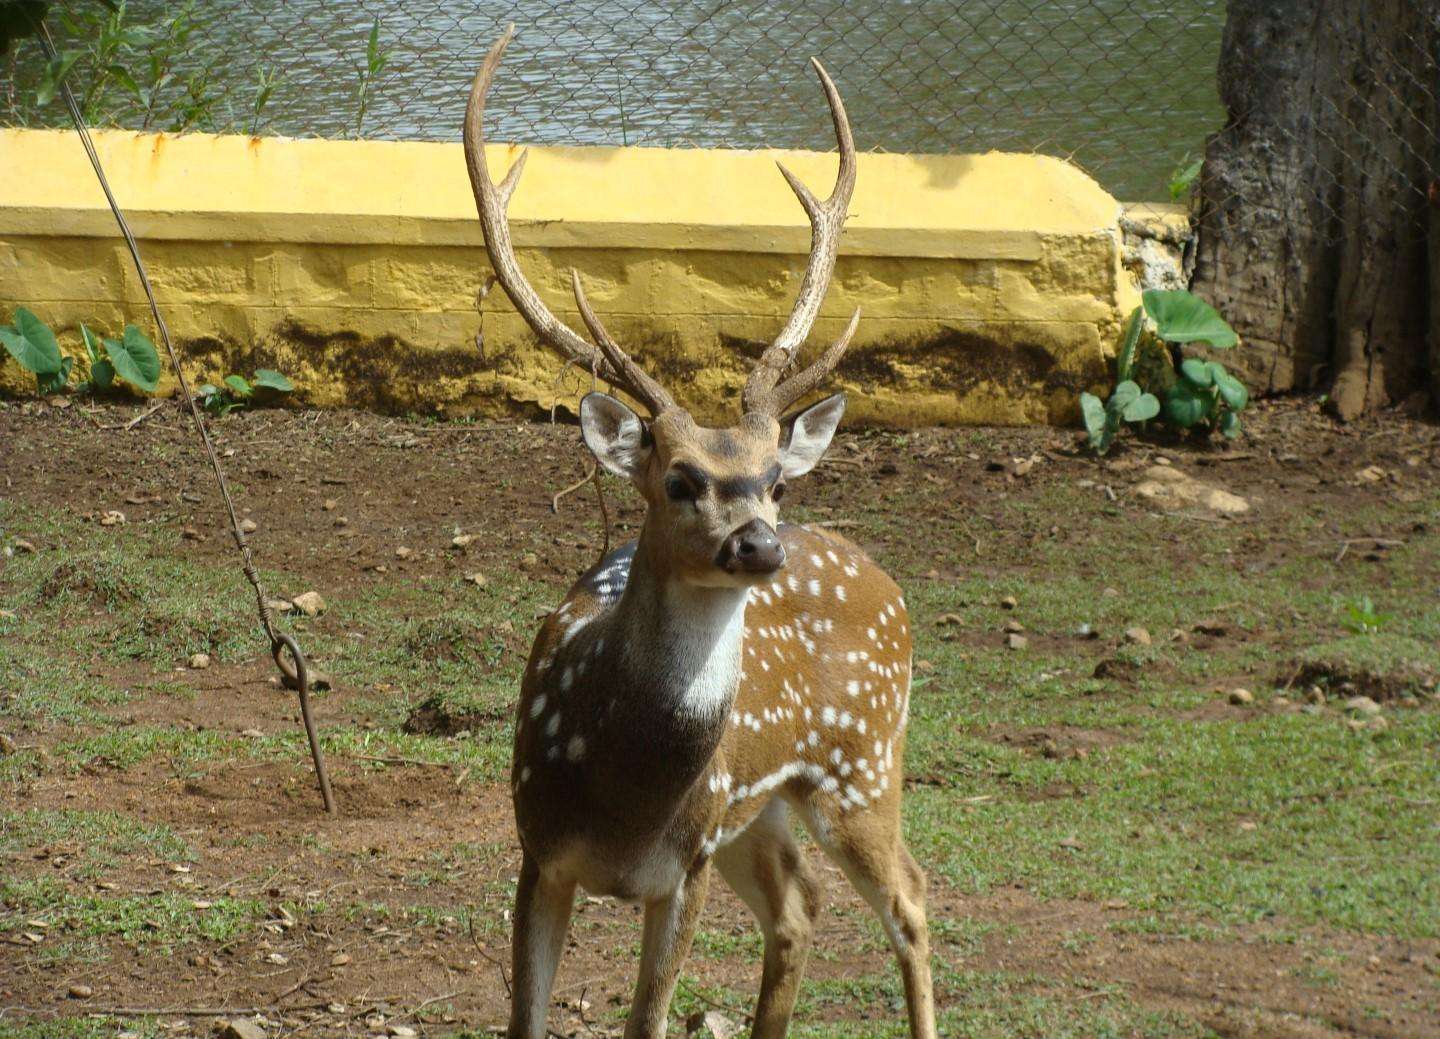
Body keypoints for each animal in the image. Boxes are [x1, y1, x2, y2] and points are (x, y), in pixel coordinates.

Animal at [463, 26, 936, 1039]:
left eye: (773, 479)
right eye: (679, 479)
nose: (760, 544)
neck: (625, 795)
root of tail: (884, 580)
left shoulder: (685, 866)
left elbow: (645, 1021)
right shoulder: (536, 849)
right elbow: (525, 1018)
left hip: (861, 762)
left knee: (911, 898)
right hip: (764, 810)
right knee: (802, 905)